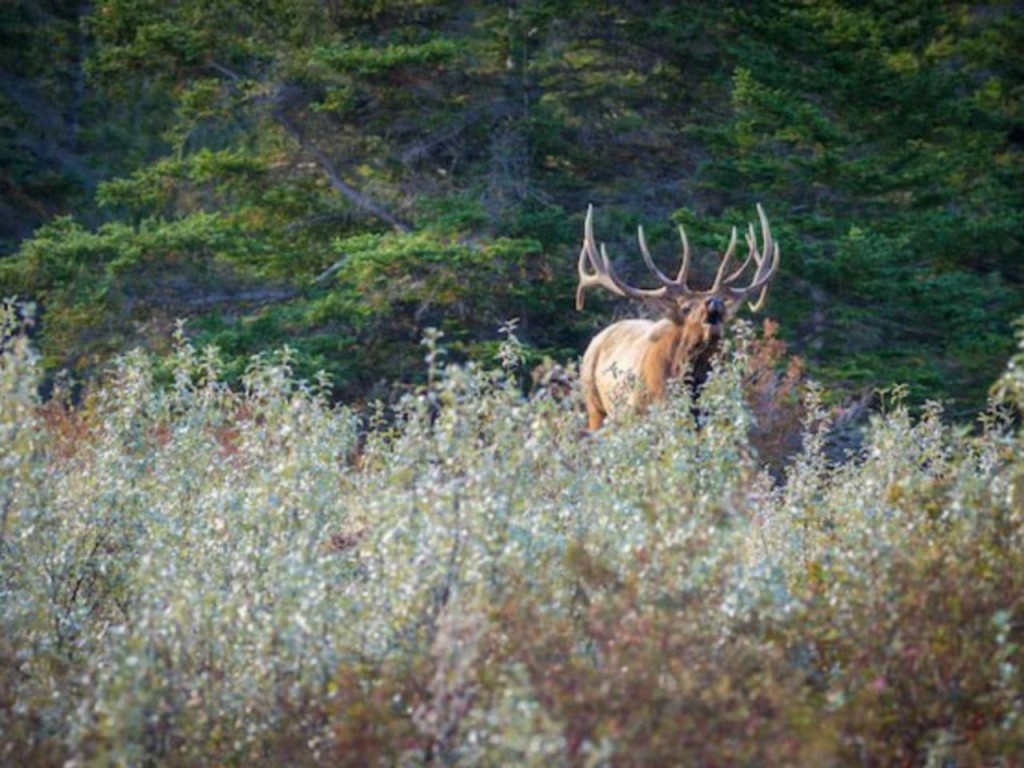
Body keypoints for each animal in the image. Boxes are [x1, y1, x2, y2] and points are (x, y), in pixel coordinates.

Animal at [573, 204, 778, 434]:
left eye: (725, 309)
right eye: (686, 307)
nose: (714, 302)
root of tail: (596, 339)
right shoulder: (641, 413)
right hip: (594, 405)